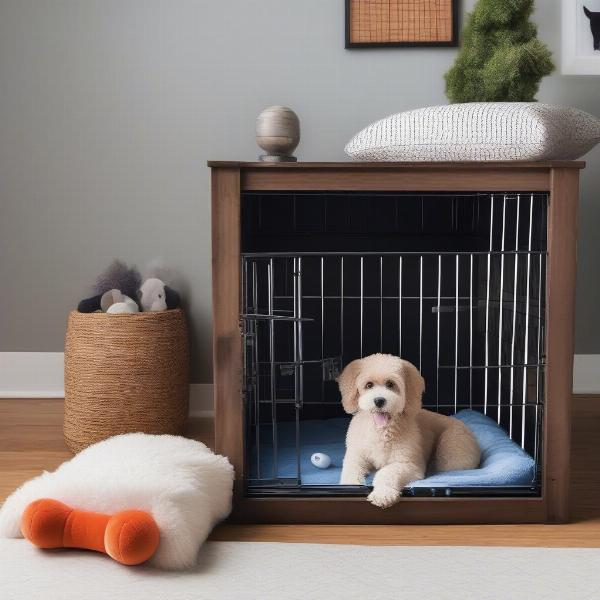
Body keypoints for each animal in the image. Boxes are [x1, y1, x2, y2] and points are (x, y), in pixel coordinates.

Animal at [340, 354, 480, 508]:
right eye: (369, 385)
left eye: (390, 384)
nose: (379, 401)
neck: (381, 430)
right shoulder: (355, 457)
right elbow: (351, 471)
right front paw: (349, 486)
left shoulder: (408, 464)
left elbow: (387, 473)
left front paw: (383, 494)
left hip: (451, 450)